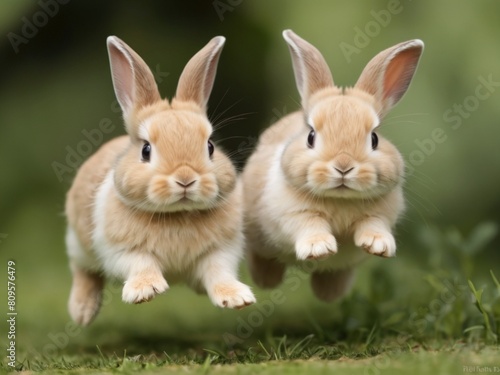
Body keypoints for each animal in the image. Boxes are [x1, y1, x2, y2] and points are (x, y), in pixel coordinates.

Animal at [65, 36, 258, 328]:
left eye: (210, 146)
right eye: (146, 150)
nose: (185, 179)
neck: (177, 214)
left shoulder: (222, 251)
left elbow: (219, 272)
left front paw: (237, 298)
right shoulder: (121, 251)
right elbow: (140, 264)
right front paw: (145, 291)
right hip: (80, 243)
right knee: (83, 270)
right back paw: (82, 313)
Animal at [241, 30, 422, 304]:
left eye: (374, 139)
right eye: (311, 137)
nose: (343, 167)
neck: (340, 199)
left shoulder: (381, 214)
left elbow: (373, 224)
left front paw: (378, 246)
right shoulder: (292, 214)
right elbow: (309, 224)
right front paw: (319, 248)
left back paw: (329, 293)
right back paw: (266, 279)